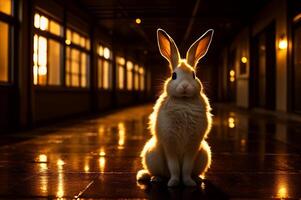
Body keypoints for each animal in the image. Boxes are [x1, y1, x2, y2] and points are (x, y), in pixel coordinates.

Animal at [137, 28, 213, 188]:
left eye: (194, 75)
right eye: (174, 76)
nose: (184, 86)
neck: (183, 101)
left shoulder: (192, 145)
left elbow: (186, 168)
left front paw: (189, 183)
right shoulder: (169, 144)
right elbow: (174, 167)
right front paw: (173, 183)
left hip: (204, 153)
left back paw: (198, 178)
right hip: (152, 154)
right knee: (160, 173)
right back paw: (156, 179)